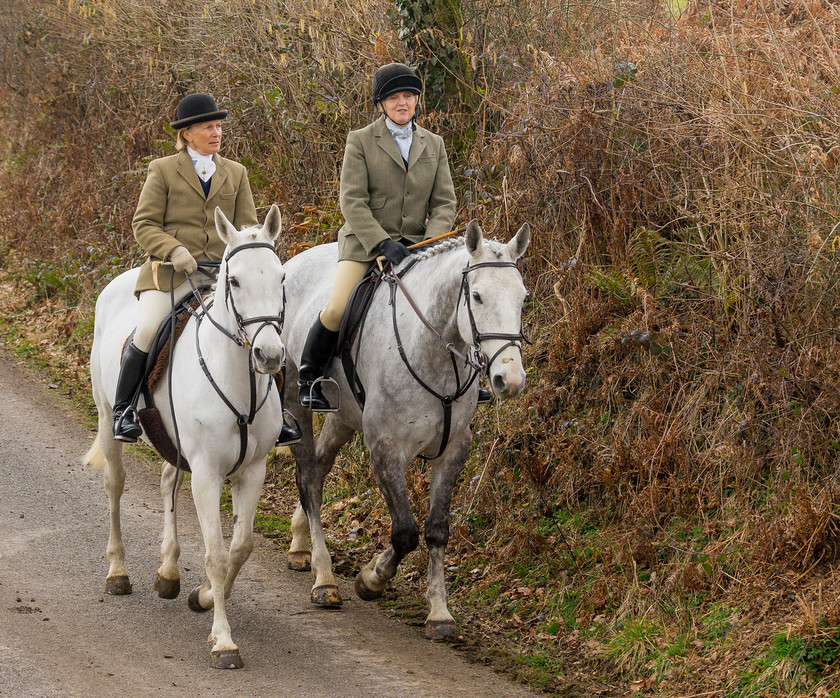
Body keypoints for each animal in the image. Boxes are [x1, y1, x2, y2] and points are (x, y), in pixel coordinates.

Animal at [85, 204, 288, 668]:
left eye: (281, 277)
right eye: (235, 280)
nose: (269, 356)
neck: (239, 382)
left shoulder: (253, 470)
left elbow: (241, 547)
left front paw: (205, 597)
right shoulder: (208, 475)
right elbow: (215, 554)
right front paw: (224, 641)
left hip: (174, 444)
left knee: (167, 484)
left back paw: (169, 573)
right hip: (106, 419)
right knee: (114, 486)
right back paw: (118, 572)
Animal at [282, 219, 532, 636]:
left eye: (523, 298)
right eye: (477, 296)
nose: (509, 380)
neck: (433, 353)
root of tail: (289, 264)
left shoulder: (453, 449)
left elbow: (436, 529)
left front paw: (440, 612)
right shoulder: (385, 448)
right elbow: (404, 531)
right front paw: (371, 579)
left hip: (342, 416)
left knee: (318, 467)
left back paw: (301, 547)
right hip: (295, 405)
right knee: (308, 479)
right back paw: (324, 580)